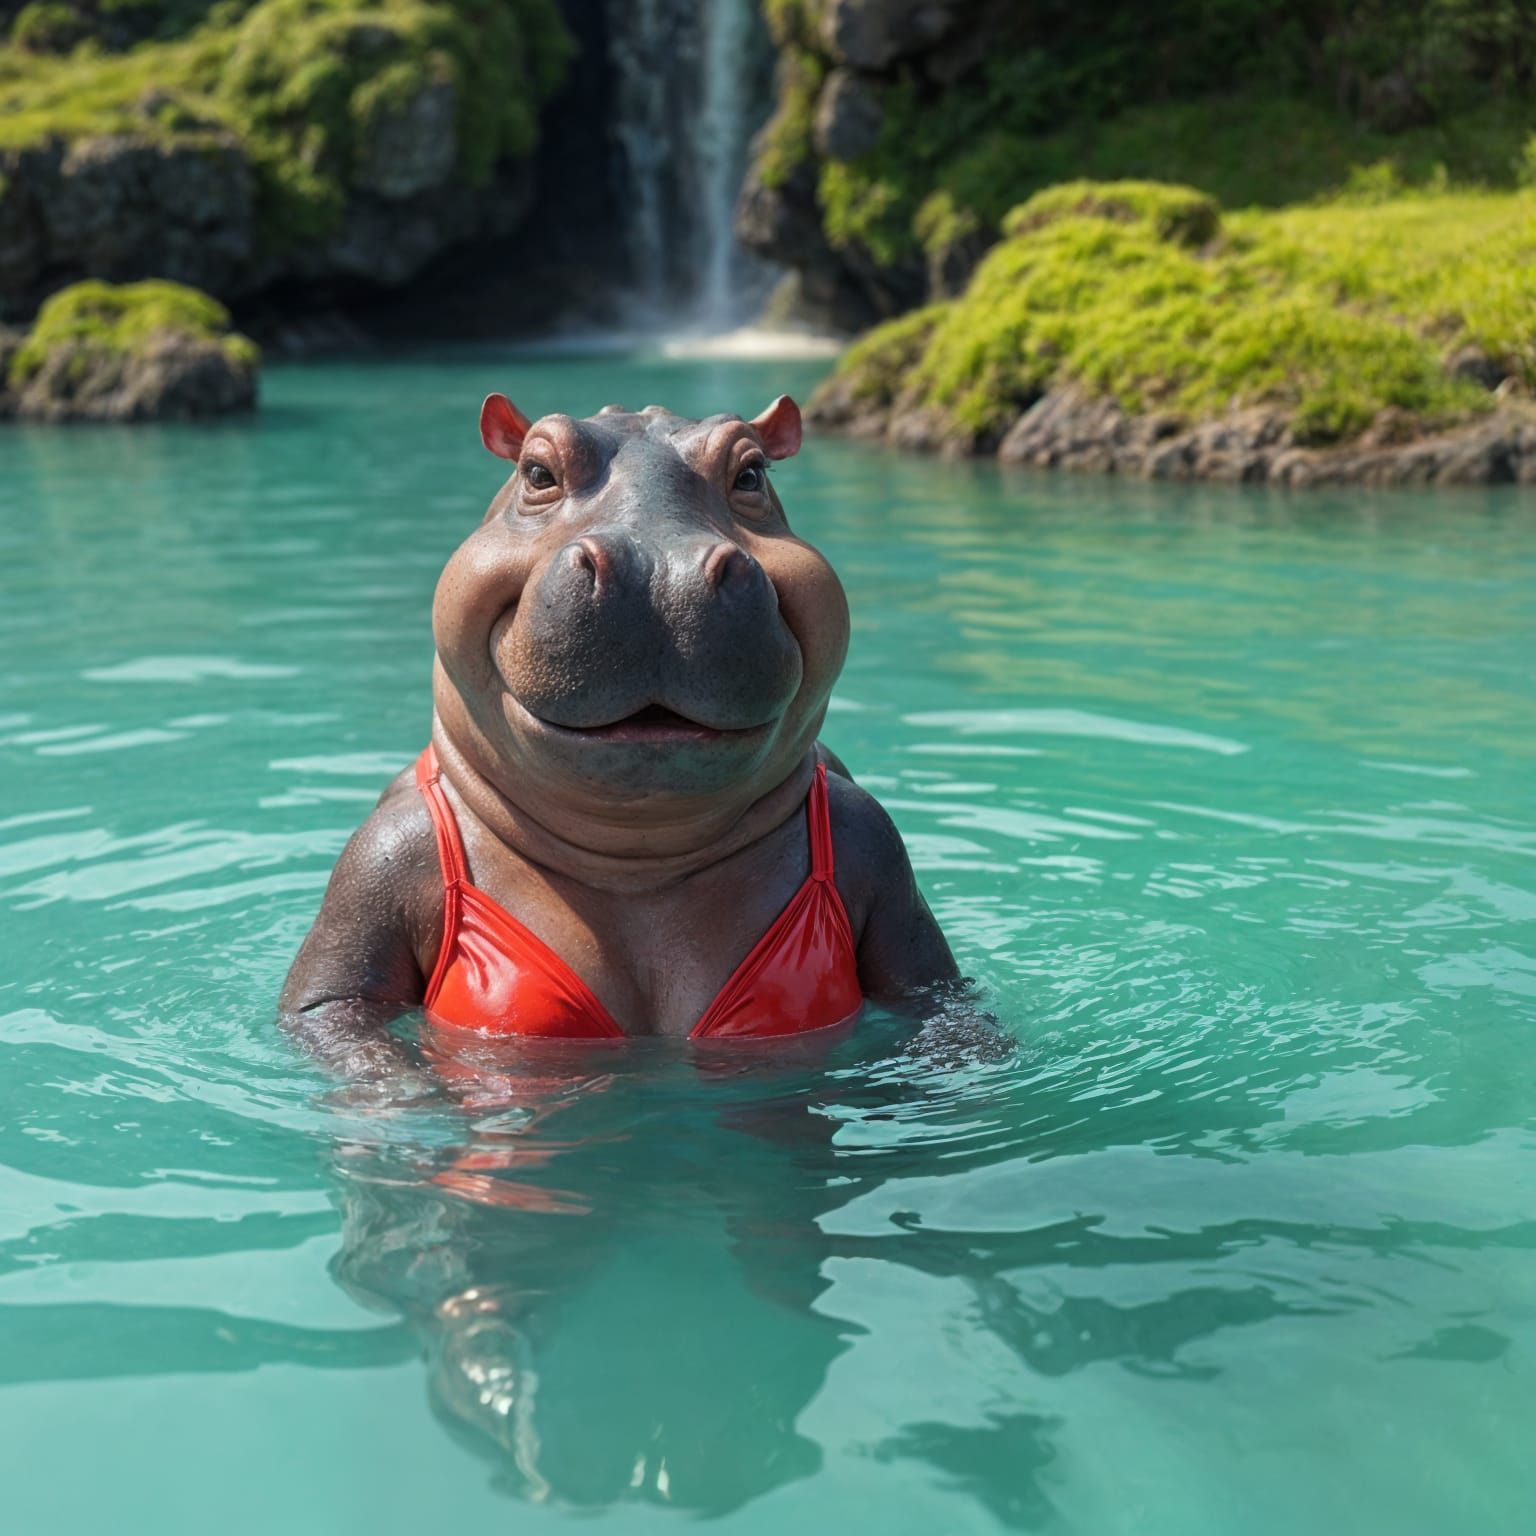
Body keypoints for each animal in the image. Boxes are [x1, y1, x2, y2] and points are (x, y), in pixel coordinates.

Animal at [282, 393, 957, 1068]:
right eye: (537, 472)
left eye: (751, 474)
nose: (658, 568)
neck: (637, 862)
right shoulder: (380, 861)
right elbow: (332, 1010)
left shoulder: (874, 840)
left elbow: (934, 999)